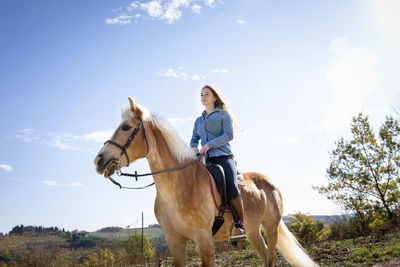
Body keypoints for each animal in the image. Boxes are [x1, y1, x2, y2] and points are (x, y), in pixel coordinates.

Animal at [94, 98, 318, 267]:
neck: (178, 187)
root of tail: (271, 183)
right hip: (253, 230)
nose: (99, 160)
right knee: (264, 255)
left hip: (271, 227)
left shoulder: (204, 238)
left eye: (125, 127)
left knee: (270, 257)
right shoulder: (174, 240)